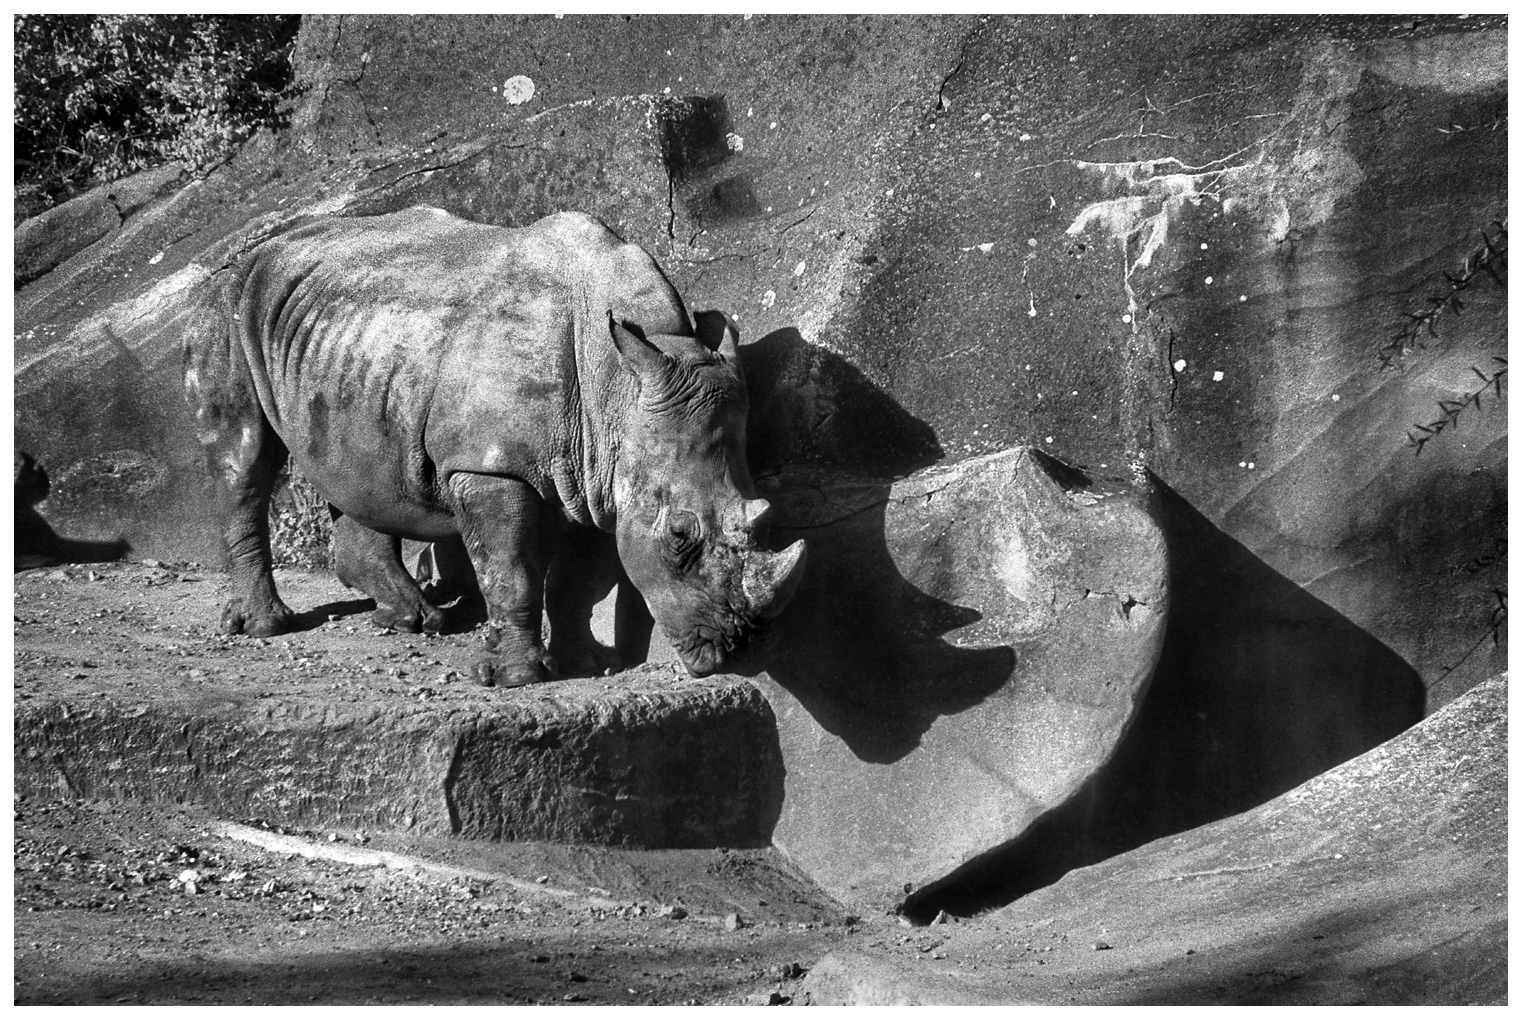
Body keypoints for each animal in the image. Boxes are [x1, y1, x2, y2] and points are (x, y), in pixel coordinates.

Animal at [182, 207, 805, 687]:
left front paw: (586, 663)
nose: (737, 647)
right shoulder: (490, 466)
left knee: (362, 467)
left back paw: (413, 620)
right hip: (233, 307)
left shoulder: (595, 472)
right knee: (246, 456)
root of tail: (261, 248)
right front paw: (514, 679)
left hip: (355, 341)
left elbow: (575, 578)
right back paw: (268, 627)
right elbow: (510, 567)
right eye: (679, 536)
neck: (619, 385)